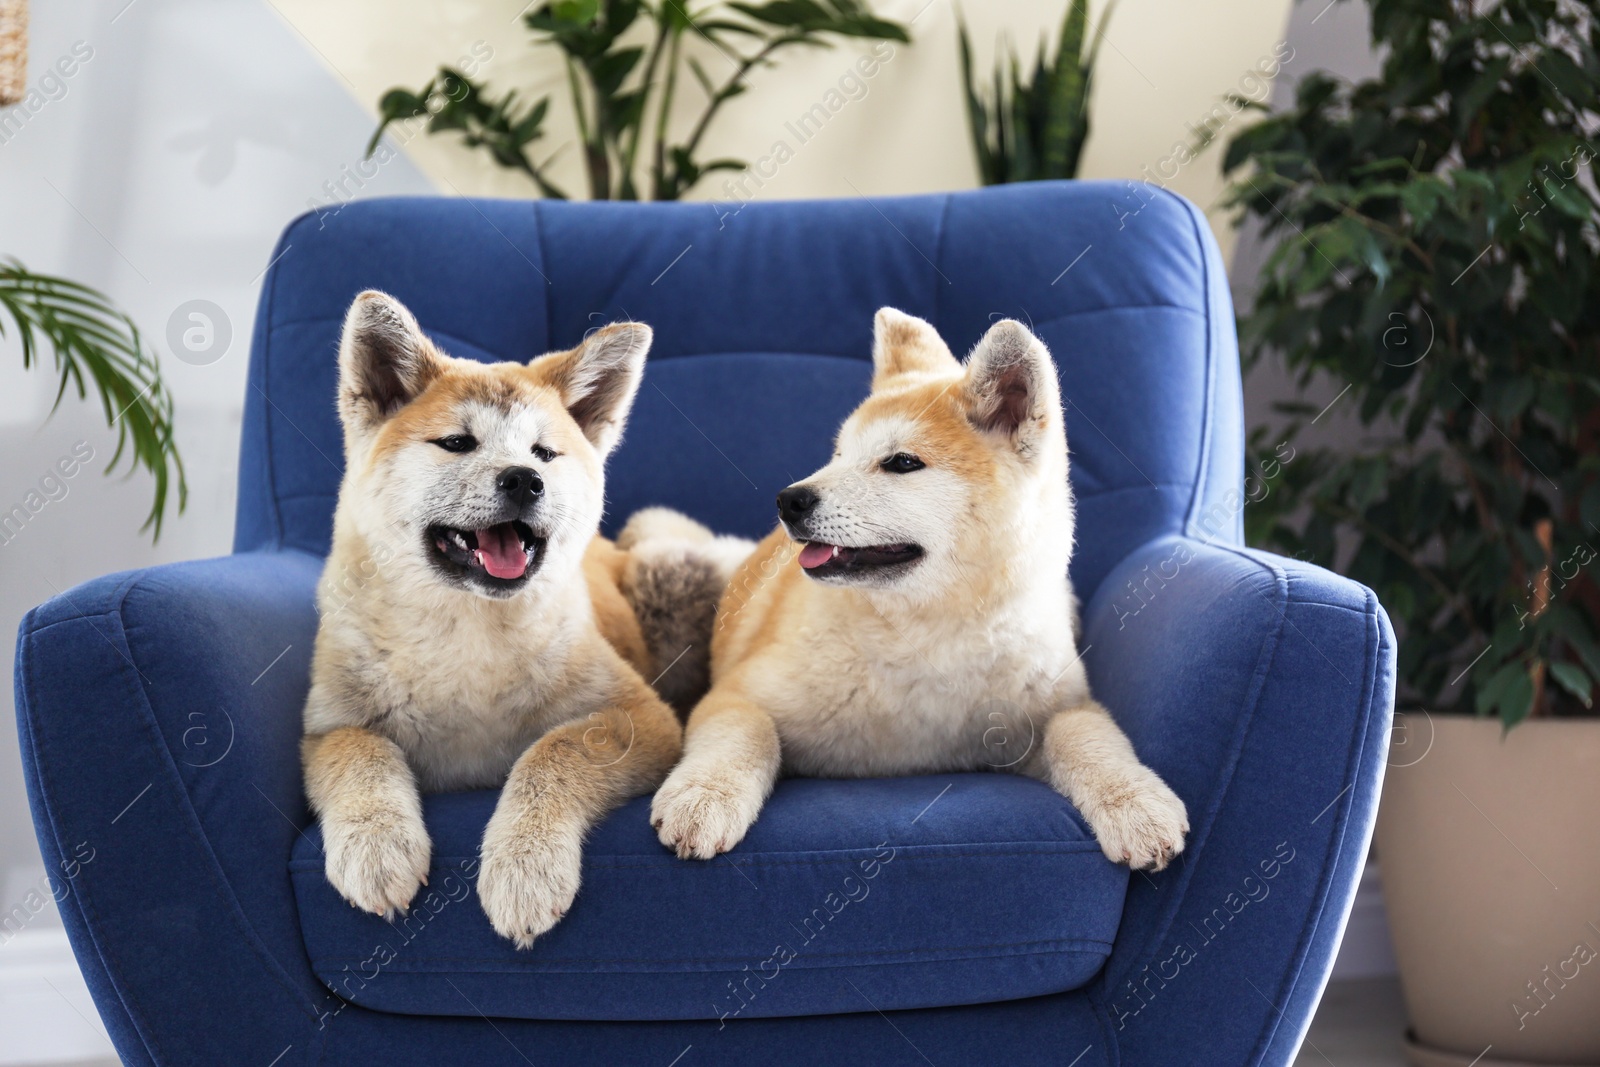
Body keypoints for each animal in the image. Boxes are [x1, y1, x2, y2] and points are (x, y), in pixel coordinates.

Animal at [304, 292, 681, 953]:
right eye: (457, 443)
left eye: (544, 454)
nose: (524, 480)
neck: (469, 637)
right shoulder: (324, 727)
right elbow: (361, 749)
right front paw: (377, 845)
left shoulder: (642, 716)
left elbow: (554, 751)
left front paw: (524, 866)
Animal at [649, 307, 1190, 870]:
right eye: (838, 454)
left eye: (902, 463)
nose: (788, 500)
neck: (926, 639)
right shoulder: (736, 694)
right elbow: (744, 734)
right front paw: (704, 797)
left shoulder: (1057, 709)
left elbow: (1086, 734)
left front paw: (1135, 801)